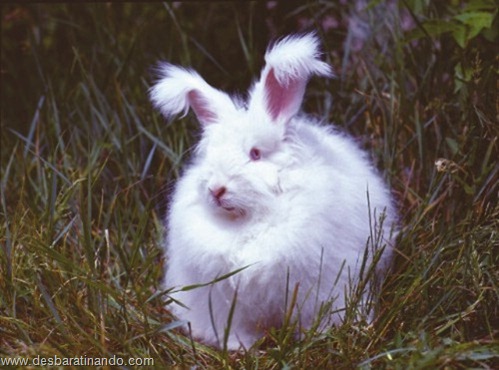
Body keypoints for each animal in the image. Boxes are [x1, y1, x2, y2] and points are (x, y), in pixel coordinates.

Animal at [149, 31, 398, 350]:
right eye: (208, 156)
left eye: (255, 154)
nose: (216, 190)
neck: (249, 220)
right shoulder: (222, 298)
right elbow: (235, 326)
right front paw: (239, 347)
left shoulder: (322, 281)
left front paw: (319, 334)